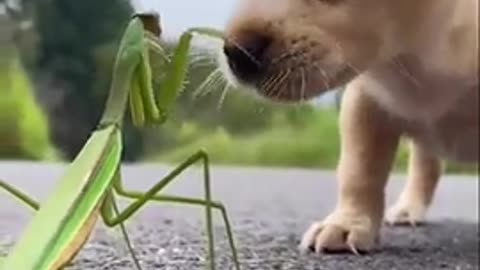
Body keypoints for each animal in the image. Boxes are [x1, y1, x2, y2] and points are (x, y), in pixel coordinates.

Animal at [219, 0, 478, 253]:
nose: (236, 53)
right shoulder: (366, 101)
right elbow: (359, 170)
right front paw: (346, 223)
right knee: (426, 164)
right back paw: (408, 208)